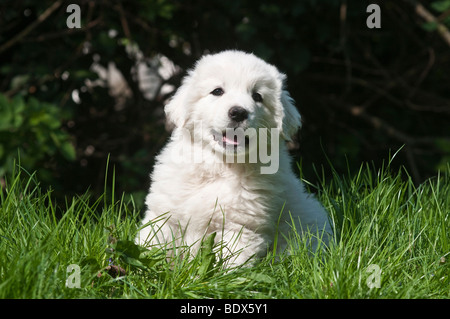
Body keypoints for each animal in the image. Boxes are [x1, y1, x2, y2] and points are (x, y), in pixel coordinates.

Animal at [136, 50, 330, 266]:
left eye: (257, 96)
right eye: (217, 91)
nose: (238, 112)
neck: (220, 165)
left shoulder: (240, 228)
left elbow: (230, 263)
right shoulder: (165, 215)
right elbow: (152, 244)